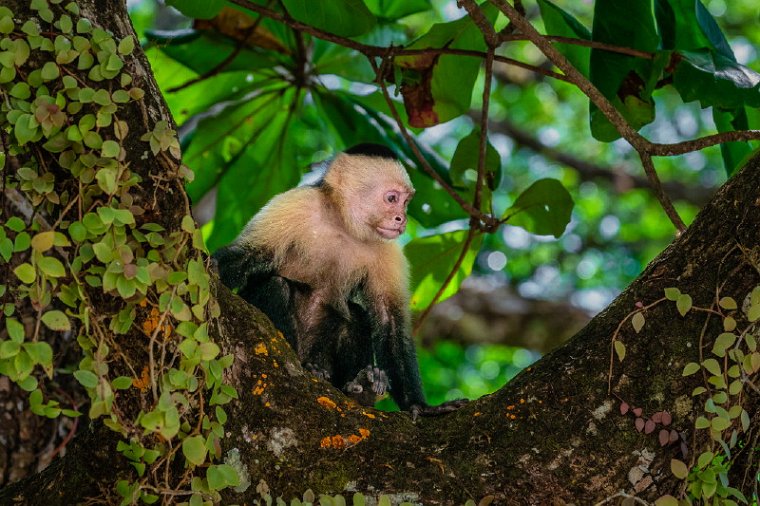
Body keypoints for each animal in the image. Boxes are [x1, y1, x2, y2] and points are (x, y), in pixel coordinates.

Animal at [212, 141, 464, 416]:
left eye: (406, 202)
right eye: (392, 199)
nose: (402, 219)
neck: (342, 224)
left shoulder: (388, 249)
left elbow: (389, 320)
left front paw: (418, 405)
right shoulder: (293, 204)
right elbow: (251, 254)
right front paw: (212, 267)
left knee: (356, 315)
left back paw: (358, 389)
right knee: (275, 286)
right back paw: (301, 364)